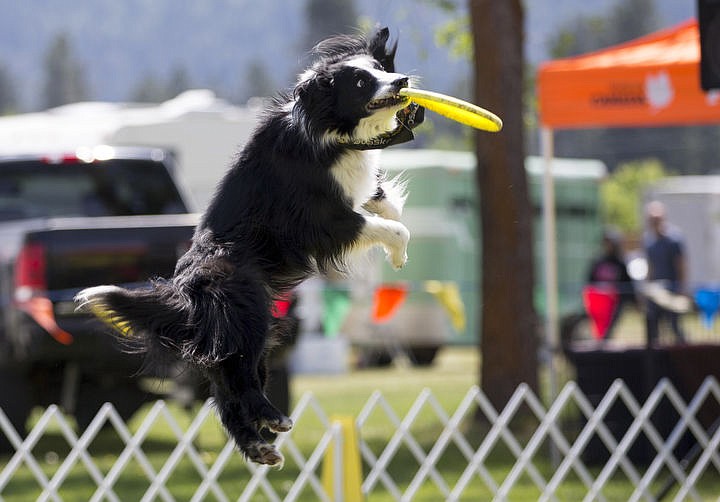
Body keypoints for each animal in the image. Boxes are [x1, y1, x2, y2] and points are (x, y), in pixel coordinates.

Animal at [74, 28, 422, 466]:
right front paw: (400, 254)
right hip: (248, 312)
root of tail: (185, 289)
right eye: (360, 83)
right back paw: (272, 418)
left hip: (245, 329)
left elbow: (385, 202)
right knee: (240, 379)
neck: (327, 130)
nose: (402, 81)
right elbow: (389, 227)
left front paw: (391, 220)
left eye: (379, 68)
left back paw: (259, 446)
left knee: (226, 387)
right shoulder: (322, 219)